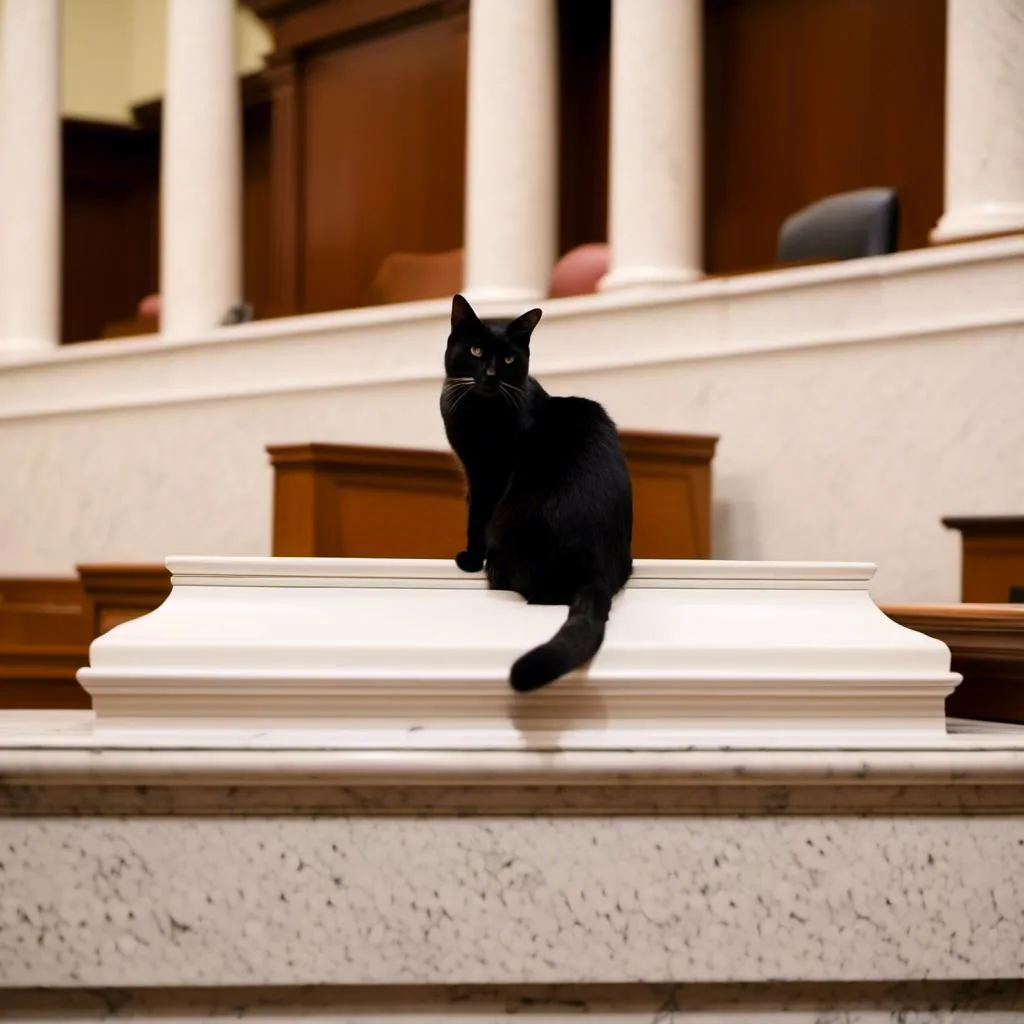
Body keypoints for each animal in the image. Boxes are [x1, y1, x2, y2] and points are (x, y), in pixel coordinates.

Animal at [440, 296, 630, 696]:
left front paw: (470, 558)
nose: (491, 374)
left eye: (510, 359)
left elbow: (475, 517)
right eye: (476, 351)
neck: (480, 411)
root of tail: (595, 569)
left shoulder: (487, 476)